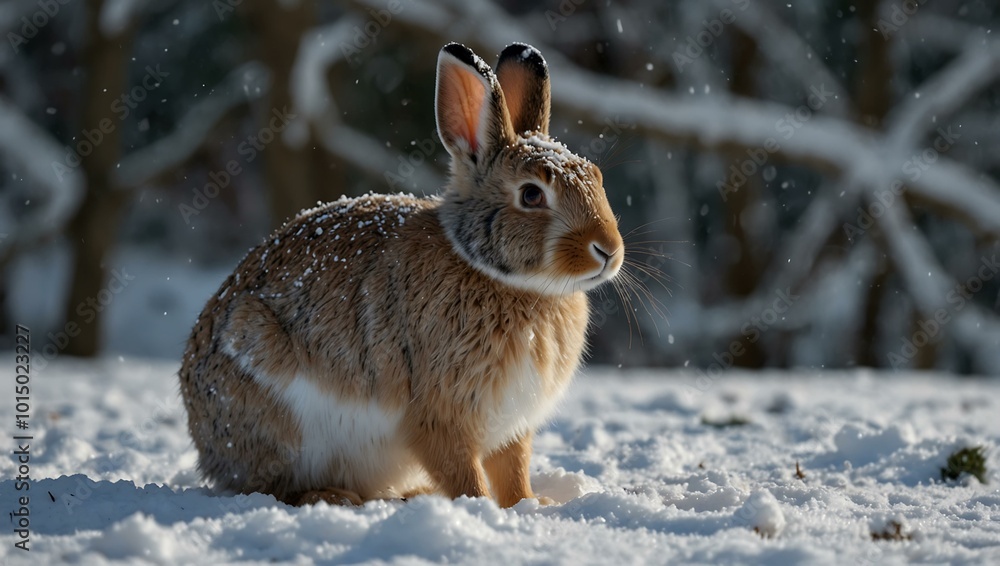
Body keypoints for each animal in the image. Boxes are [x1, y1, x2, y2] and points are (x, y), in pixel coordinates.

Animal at [176, 41, 620, 510]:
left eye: (596, 177)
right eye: (532, 195)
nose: (608, 250)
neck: (505, 280)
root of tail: (205, 442)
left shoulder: (511, 426)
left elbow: (513, 469)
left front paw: (530, 505)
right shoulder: (439, 414)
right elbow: (460, 468)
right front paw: (478, 506)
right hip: (271, 398)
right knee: (270, 485)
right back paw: (332, 495)